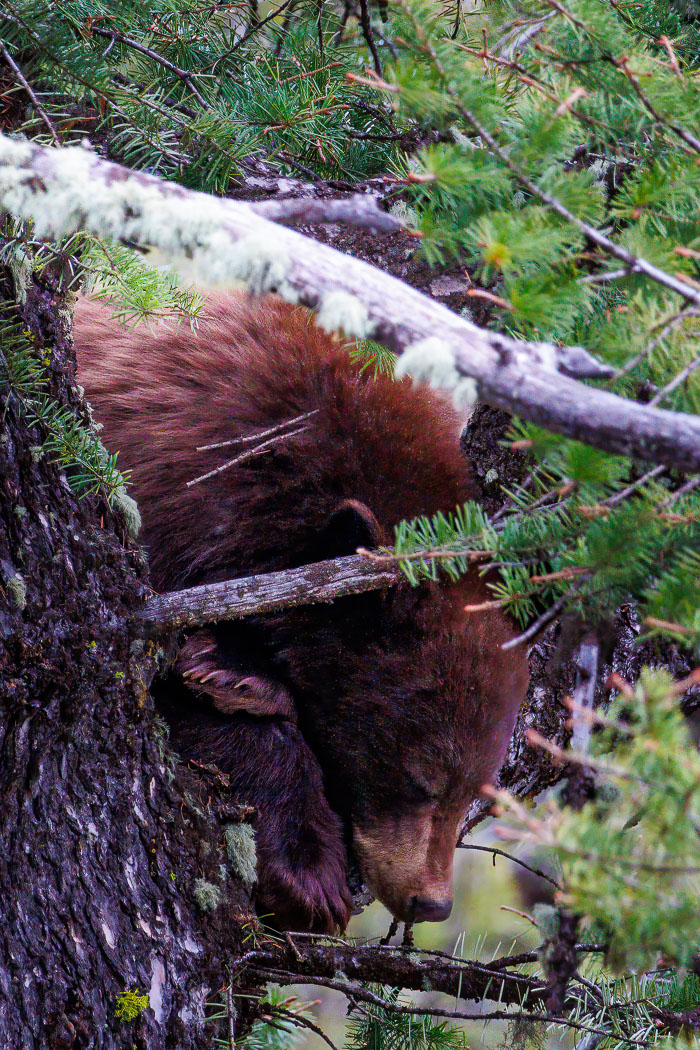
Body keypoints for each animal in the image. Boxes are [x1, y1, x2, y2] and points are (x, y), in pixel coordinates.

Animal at [73, 291, 528, 932]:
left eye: (478, 790)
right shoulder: (156, 502)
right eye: (421, 780)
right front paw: (309, 874)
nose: (431, 902)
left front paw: (241, 675)